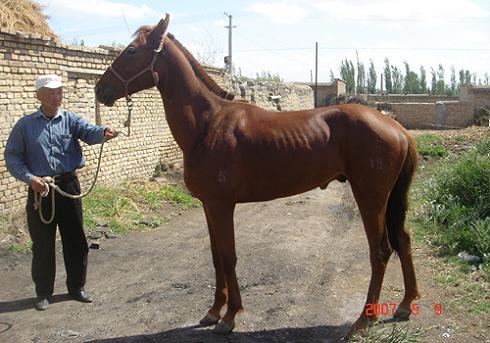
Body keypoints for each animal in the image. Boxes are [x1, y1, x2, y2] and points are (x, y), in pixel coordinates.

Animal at [95, 14, 422, 338]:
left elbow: (228, 257)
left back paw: (363, 320)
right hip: (388, 200)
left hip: (370, 198)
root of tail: (396, 127)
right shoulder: (208, 205)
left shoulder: (222, 205)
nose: (100, 89)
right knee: (403, 240)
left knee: (380, 251)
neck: (207, 124)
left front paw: (229, 317)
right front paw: (214, 311)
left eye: (131, 51)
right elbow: (216, 257)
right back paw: (405, 305)